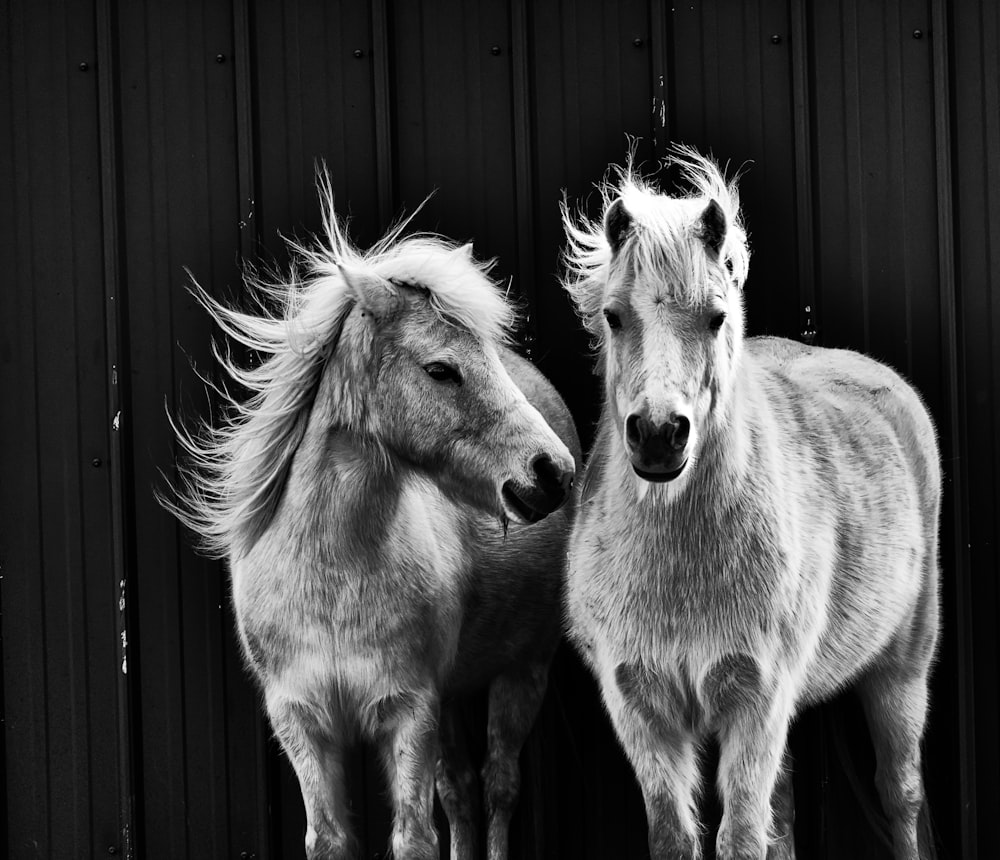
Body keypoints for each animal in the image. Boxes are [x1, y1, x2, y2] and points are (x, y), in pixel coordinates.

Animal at [162, 176, 580, 860]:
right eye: (440, 369)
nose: (551, 472)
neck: (331, 573)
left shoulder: (410, 713)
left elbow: (414, 838)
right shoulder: (304, 724)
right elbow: (333, 839)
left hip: (523, 673)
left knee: (498, 788)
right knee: (462, 791)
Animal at [564, 149, 936, 860]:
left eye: (715, 316)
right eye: (614, 316)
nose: (659, 434)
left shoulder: (756, 703)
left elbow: (739, 838)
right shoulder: (641, 710)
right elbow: (682, 836)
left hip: (902, 671)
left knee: (901, 797)